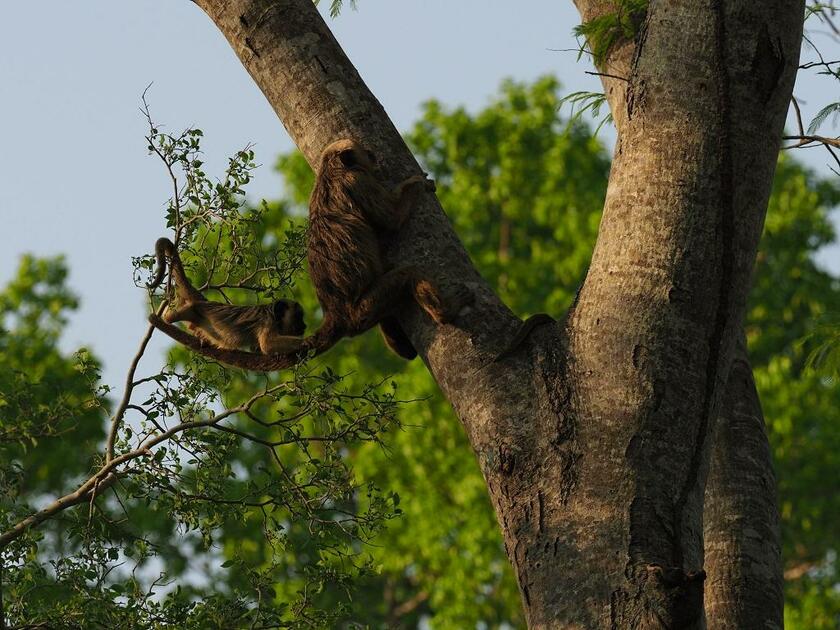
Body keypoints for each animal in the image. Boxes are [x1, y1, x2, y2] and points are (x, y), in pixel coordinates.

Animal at [147, 237, 306, 356]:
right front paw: (305, 343)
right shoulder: (267, 322)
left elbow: (257, 348)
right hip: (191, 309)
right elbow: (267, 345)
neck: (273, 315)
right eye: (298, 316)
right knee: (170, 317)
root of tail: (204, 302)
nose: (305, 325)